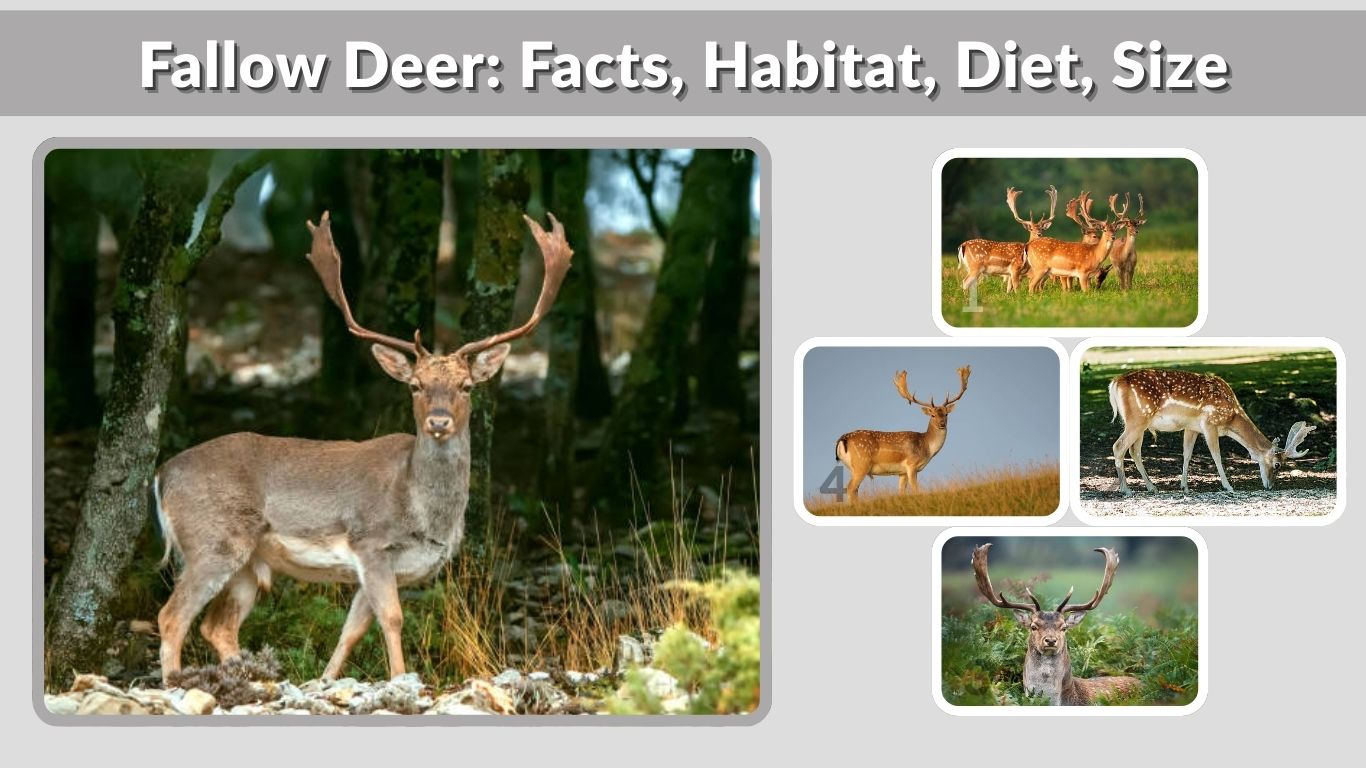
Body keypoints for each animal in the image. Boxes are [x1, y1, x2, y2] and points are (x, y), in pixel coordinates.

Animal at [151, 210, 572, 683]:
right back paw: (174, 684)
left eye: (466, 386)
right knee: (171, 616)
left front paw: (325, 681)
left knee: (216, 626)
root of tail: (161, 475)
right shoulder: (371, 544)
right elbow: (392, 619)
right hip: (212, 540)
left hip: (247, 563)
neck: (423, 512)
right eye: (415, 385)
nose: (438, 421)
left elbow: (352, 629)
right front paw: (400, 679)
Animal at [834, 366, 970, 502]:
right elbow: (916, 490)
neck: (927, 447)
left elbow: (901, 492)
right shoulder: (911, 465)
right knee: (850, 488)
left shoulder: (902, 472)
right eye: (932, 415)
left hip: (853, 468)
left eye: (946, 414)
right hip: (861, 464)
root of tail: (843, 439)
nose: (942, 424)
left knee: (853, 489)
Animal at [1108, 368, 1315, 495]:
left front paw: (1185, 487)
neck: (1231, 417)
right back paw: (1126, 489)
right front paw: (1228, 486)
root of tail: (1115, 382)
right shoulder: (1209, 422)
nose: (1270, 486)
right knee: (1118, 446)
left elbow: (1187, 454)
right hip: (1137, 419)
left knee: (1134, 451)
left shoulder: (1191, 427)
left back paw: (1152, 487)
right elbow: (1216, 455)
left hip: (1139, 424)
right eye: (1278, 465)